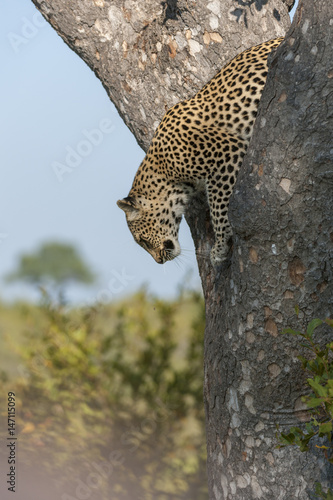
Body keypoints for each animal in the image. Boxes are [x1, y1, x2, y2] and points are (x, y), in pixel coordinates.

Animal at [117, 36, 282, 266]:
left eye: (143, 240)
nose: (159, 261)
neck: (162, 169)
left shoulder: (227, 152)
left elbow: (218, 207)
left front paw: (219, 247)